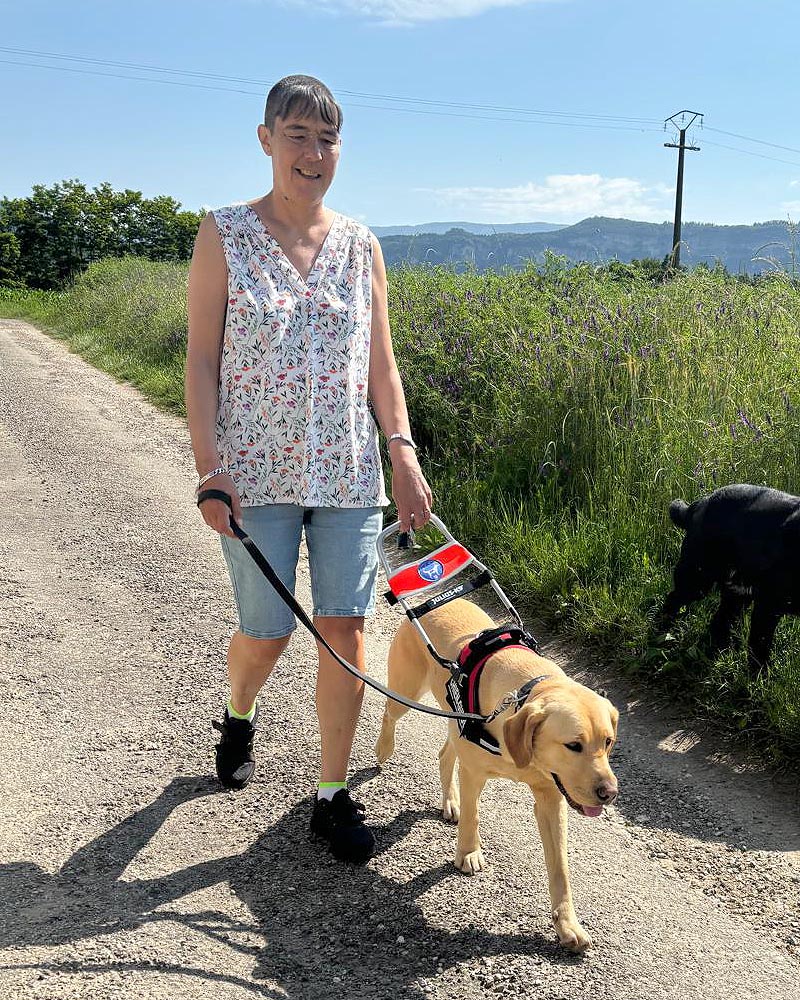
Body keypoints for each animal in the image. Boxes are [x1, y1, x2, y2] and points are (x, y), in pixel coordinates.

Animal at [656, 484, 800, 672]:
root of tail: (700, 503)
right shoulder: (768, 603)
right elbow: (759, 646)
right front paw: (758, 676)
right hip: (697, 580)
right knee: (673, 599)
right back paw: (663, 631)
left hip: (736, 592)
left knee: (720, 620)